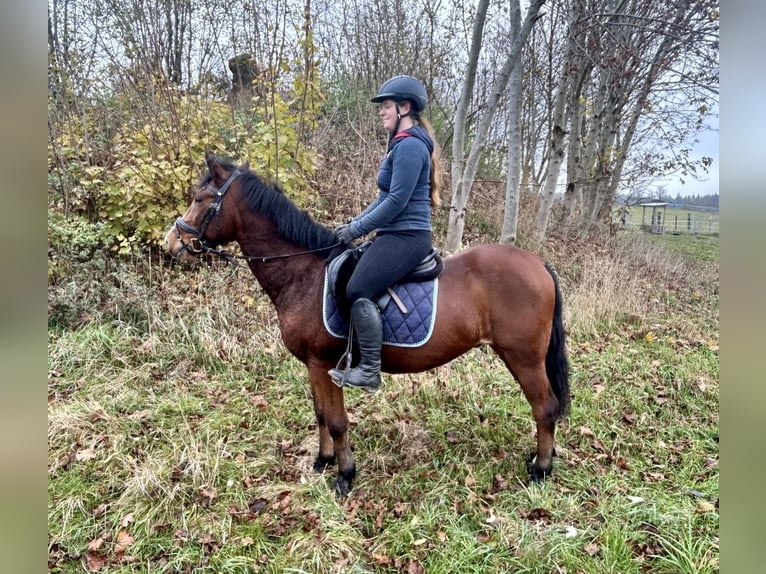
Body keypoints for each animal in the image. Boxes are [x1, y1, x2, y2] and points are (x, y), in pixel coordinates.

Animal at [165, 151, 568, 498]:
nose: (172, 242)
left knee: (545, 407)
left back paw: (541, 469)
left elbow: (338, 421)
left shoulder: (324, 363)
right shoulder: (313, 366)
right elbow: (321, 415)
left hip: (523, 357)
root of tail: (539, 263)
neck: (304, 273)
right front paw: (323, 461)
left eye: (200, 199)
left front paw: (344, 476)